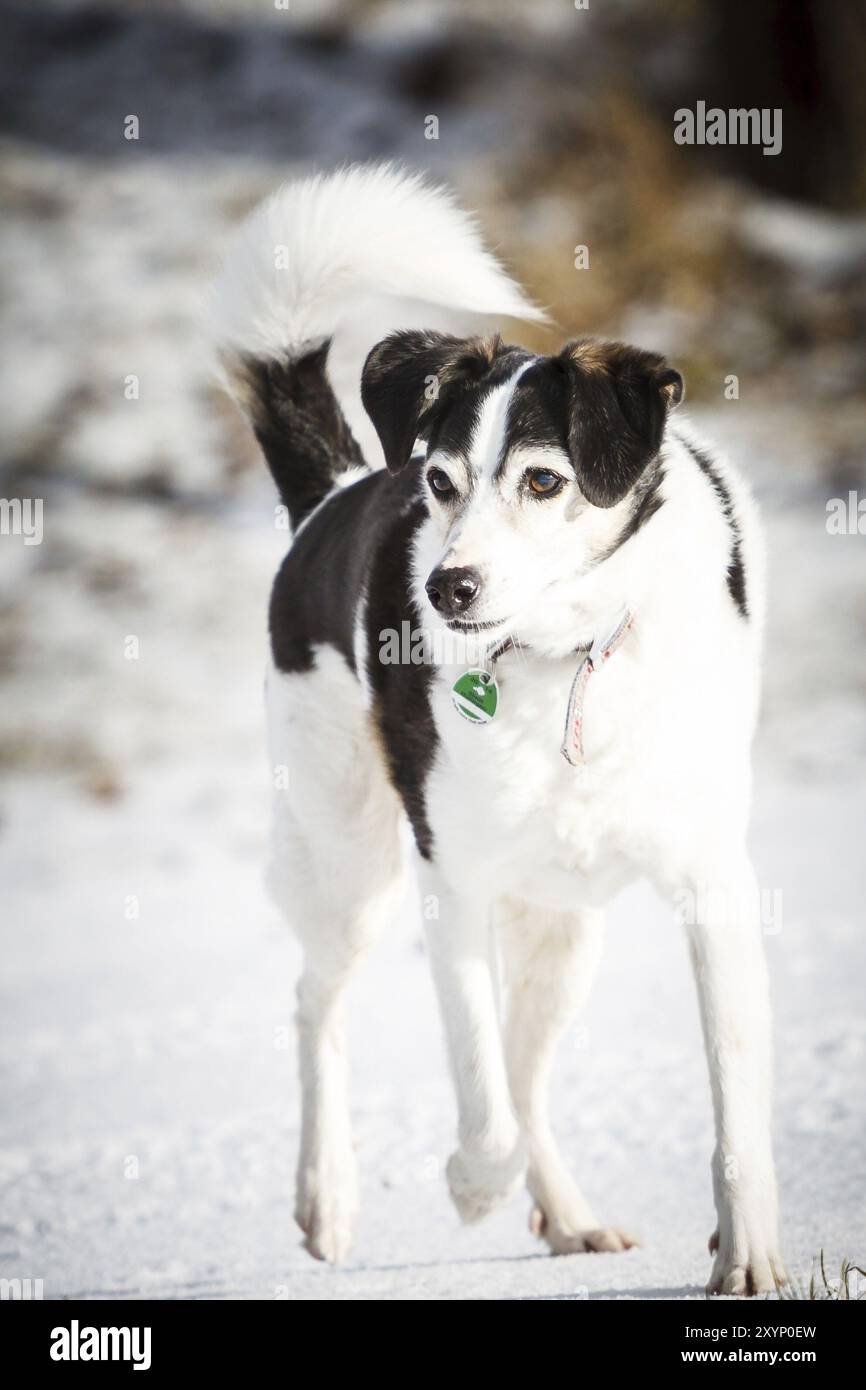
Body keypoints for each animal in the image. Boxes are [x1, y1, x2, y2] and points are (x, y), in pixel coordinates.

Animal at [211, 162, 783, 1289]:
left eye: (542, 480)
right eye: (440, 481)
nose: (447, 588)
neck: (569, 660)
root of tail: (332, 495)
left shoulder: (715, 884)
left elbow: (734, 1096)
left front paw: (748, 1251)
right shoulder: (454, 884)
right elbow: (480, 1098)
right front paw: (473, 1185)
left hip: (566, 925)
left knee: (527, 1067)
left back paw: (565, 1212)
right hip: (349, 864)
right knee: (318, 1003)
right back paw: (329, 1195)